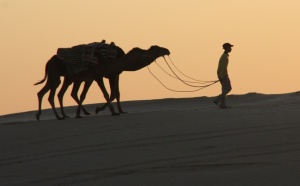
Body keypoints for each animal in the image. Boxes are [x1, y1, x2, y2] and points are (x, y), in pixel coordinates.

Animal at [34, 45, 170, 120]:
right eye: (156, 49)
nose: (167, 50)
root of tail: (48, 62)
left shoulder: (110, 75)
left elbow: (115, 93)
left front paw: (119, 111)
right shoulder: (98, 76)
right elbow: (106, 94)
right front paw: (111, 111)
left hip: (67, 78)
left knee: (56, 93)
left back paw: (51, 115)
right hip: (57, 74)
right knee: (53, 93)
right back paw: (58, 116)